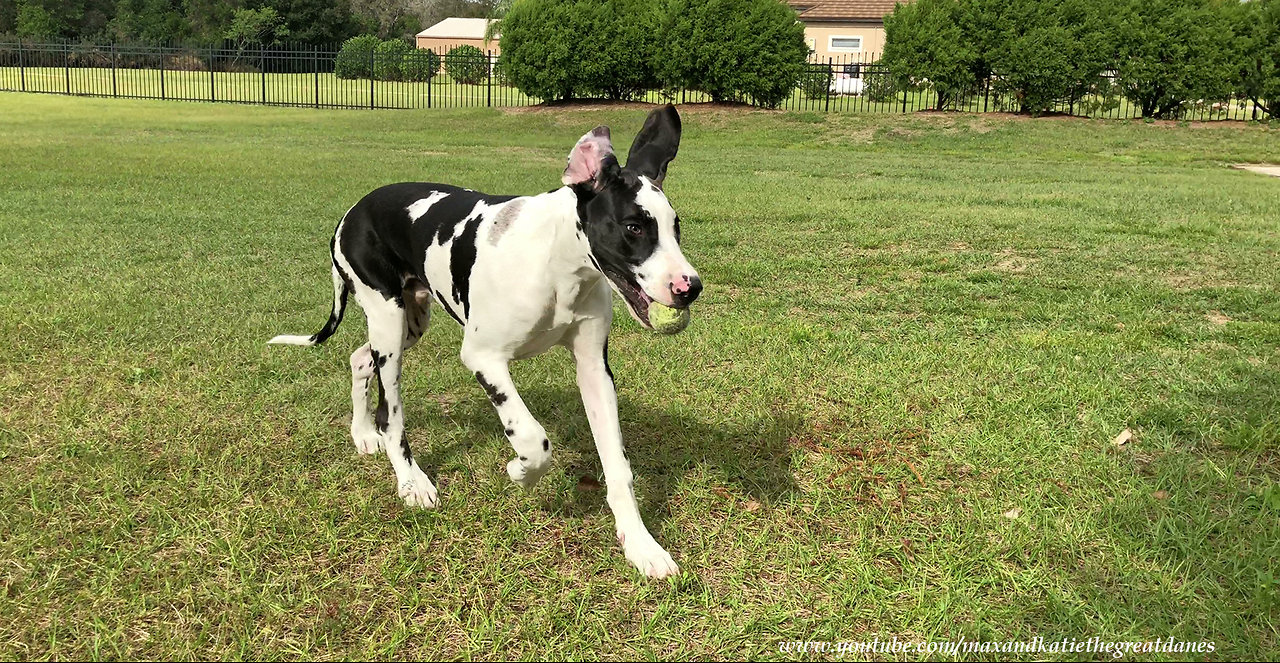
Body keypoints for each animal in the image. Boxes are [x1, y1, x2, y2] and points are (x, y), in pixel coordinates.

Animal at [270, 106, 706, 578]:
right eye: (633, 227)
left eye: (675, 228)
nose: (691, 287)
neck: (555, 264)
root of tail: (353, 210)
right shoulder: (483, 358)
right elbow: (533, 437)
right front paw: (521, 472)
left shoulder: (594, 369)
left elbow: (617, 465)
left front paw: (641, 545)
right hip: (388, 321)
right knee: (392, 413)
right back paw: (410, 480)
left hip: (408, 324)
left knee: (358, 359)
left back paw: (362, 433)